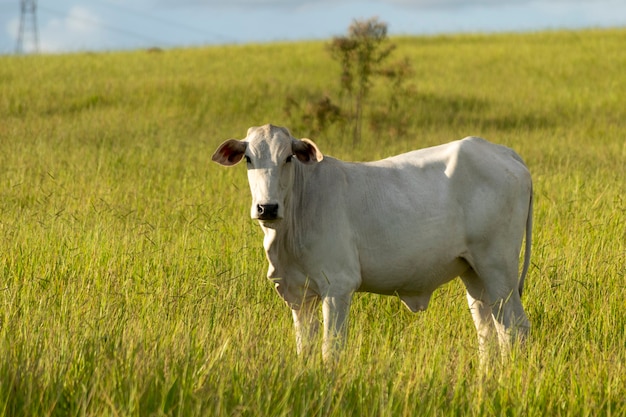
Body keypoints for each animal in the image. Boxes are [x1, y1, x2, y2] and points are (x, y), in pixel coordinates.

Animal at [212, 124, 528, 364]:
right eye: (248, 158)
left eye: (288, 157)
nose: (267, 208)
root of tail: (502, 151)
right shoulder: (299, 295)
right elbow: (306, 348)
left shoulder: (338, 286)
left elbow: (332, 349)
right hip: (473, 274)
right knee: (488, 329)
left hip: (498, 269)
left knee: (515, 328)